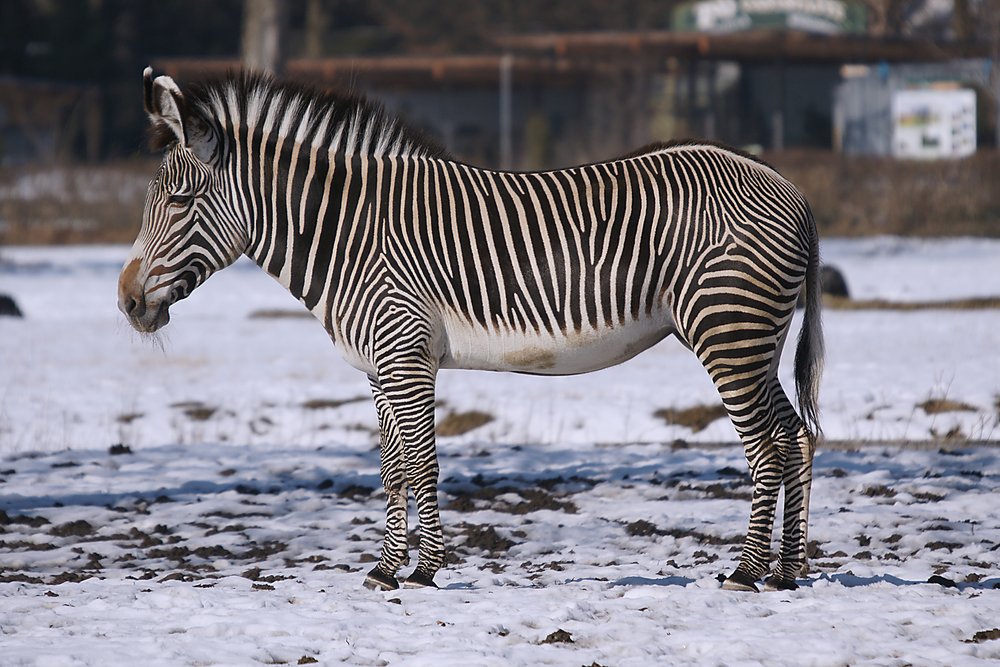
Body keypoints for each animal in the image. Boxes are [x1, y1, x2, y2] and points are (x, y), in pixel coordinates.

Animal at [119, 68, 823, 594]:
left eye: (178, 202)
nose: (127, 301)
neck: (347, 235)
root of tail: (786, 185)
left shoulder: (404, 350)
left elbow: (422, 461)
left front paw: (425, 570)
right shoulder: (379, 365)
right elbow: (392, 468)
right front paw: (386, 569)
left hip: (727, 329)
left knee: (767, 447)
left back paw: (746, 572)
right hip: (755, 338)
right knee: (795, 436)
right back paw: (788, 571)